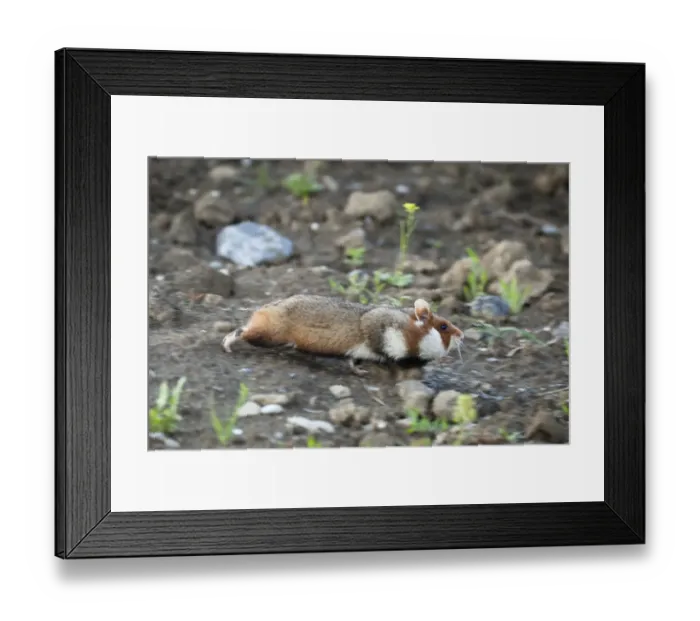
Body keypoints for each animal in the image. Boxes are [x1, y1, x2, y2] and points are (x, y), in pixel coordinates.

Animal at [221, 294, 465, 375]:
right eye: (444, 326)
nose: (463, 335)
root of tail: (263, 308)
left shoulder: (358, 353)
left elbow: (353, 360)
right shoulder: (377, 327)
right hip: (269, 335)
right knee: (242, 331)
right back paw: (227, 343)